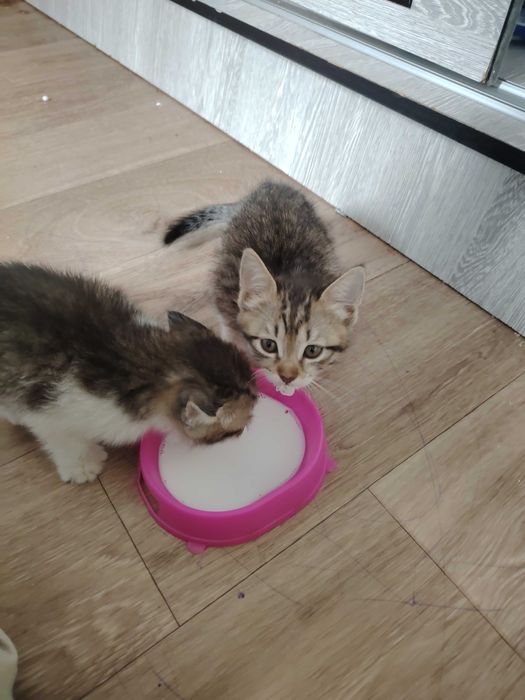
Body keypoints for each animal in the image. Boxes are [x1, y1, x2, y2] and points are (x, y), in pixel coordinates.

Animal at [164, 180, 365, 394]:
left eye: (313, 350)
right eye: (268, 345)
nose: (287, 377)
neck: (295, 269)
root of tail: (272, 185)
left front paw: (288, 388)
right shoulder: (225, 287)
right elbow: (229, 326)